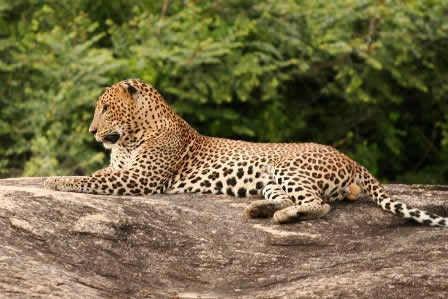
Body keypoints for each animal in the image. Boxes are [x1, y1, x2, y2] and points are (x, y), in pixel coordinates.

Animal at [44, 79, 448, 227]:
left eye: (105, 108)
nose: (92, 132)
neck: (130, 136)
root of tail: (350, 157)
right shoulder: (124, 171)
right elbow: (96, 174)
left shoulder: (140, 178)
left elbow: (89, 179)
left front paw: (54, 180)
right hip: (269, 179)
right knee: (291, 198)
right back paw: (260, 209)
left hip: (289, 168)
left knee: (319, 204)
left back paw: (282, 217)